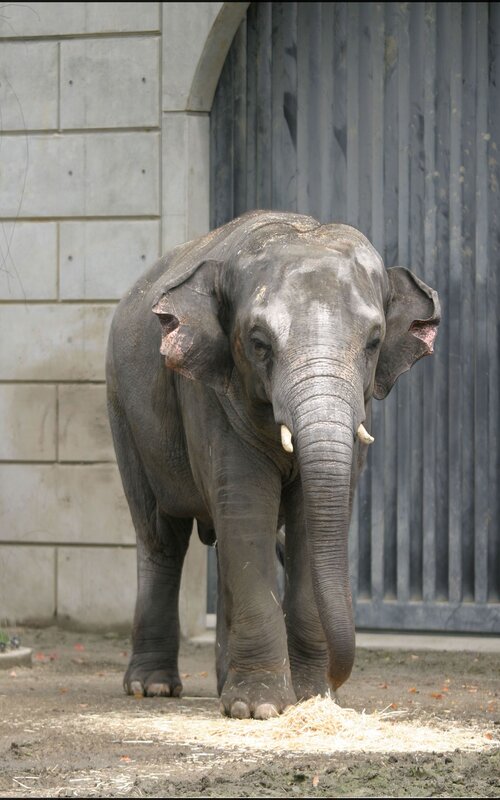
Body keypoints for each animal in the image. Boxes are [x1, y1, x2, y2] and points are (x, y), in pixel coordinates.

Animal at [106, 210, 440, 719]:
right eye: (259, 343)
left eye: (375, 342)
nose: (337, 678)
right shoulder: (211, 394)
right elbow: (247, 510)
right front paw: (259, 708)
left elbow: (307, 519)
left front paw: (309, 697)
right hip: (122, 408)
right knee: (161, 536)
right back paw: (153, 687)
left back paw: (221, 683)